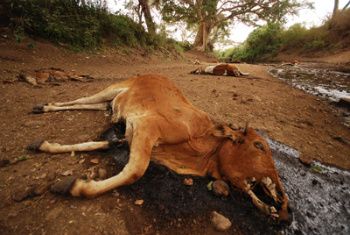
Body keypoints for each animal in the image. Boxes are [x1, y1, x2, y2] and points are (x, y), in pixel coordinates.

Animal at [28, 74, 288, 221]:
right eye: (259, 145)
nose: (281, 197)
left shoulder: (132, 136)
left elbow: (99, 144)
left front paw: (46, 145)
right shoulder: (147, 126)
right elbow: (135, 171)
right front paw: (76, 186)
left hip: (110, 102)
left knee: (98, 106)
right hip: (112, 88)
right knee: (81, 100)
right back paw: (44, 106)